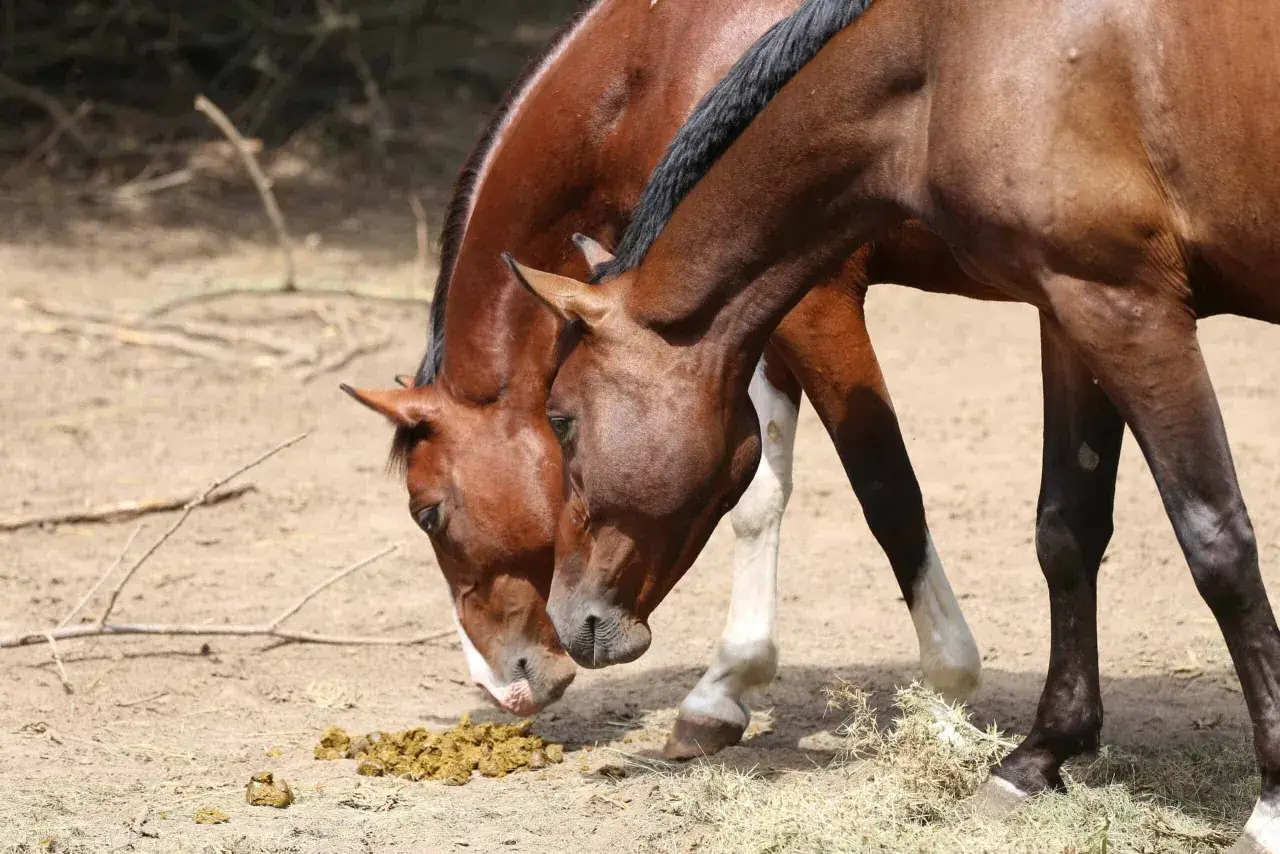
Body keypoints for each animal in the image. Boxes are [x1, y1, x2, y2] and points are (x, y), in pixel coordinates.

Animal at [343, 0, 992, 757]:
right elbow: (757, 491)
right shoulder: (742, 317)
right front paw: (724, 691)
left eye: (429, 513)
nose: (497, 683)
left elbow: (888, 490)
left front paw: (948, 693)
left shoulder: (816, 303)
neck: (663, 57)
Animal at [512, 0, 1280, 848]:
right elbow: (1066, 531)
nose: (568, 622)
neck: (951, 52)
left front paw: (1272, 802)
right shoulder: (1069, 309)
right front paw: (1039, 756)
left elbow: (1217, 544)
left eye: (562, 417)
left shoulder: (1131, 311)